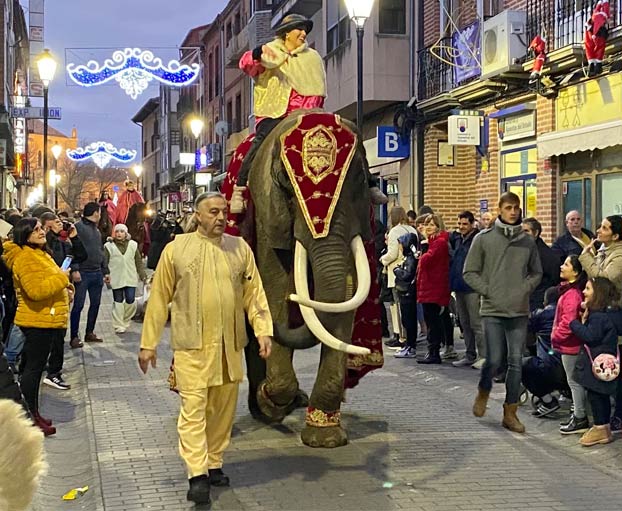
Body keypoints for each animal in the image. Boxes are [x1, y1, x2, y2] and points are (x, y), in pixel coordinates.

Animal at [227, 109, 378, 448]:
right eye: (285, 184)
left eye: (361, 179)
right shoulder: (267, 212)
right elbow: (273, 285)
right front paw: (273, 400)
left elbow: (345, 296)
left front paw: (325, 438)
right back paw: (267, 408)